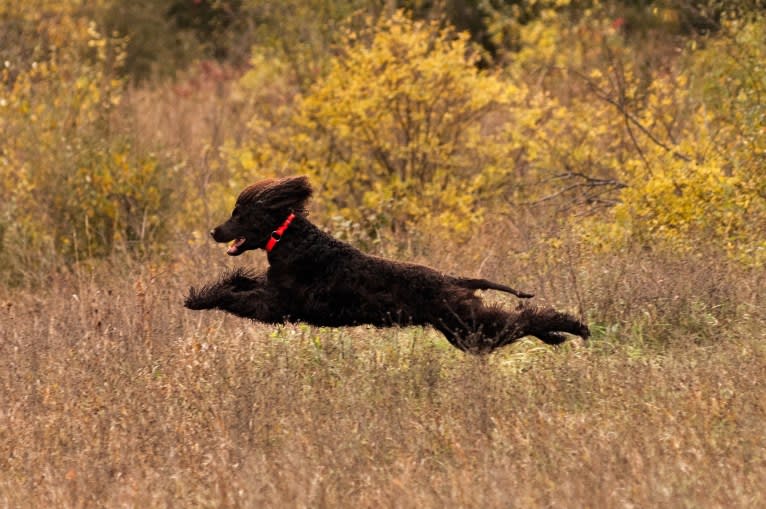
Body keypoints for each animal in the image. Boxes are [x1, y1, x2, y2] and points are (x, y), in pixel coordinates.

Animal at [183, 177, 592, 352]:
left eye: (239, 214)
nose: (214, 231)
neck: (289, 238)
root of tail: (456, 278)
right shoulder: (273, 290)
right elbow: (240, 282)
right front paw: (214, 286)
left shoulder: (280, 304)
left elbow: (235, 299)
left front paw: (198, 299)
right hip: (463, 331)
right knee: (519, 320)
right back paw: (558, 336)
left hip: (466, 326)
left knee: (525, 317)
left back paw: (574, 327)